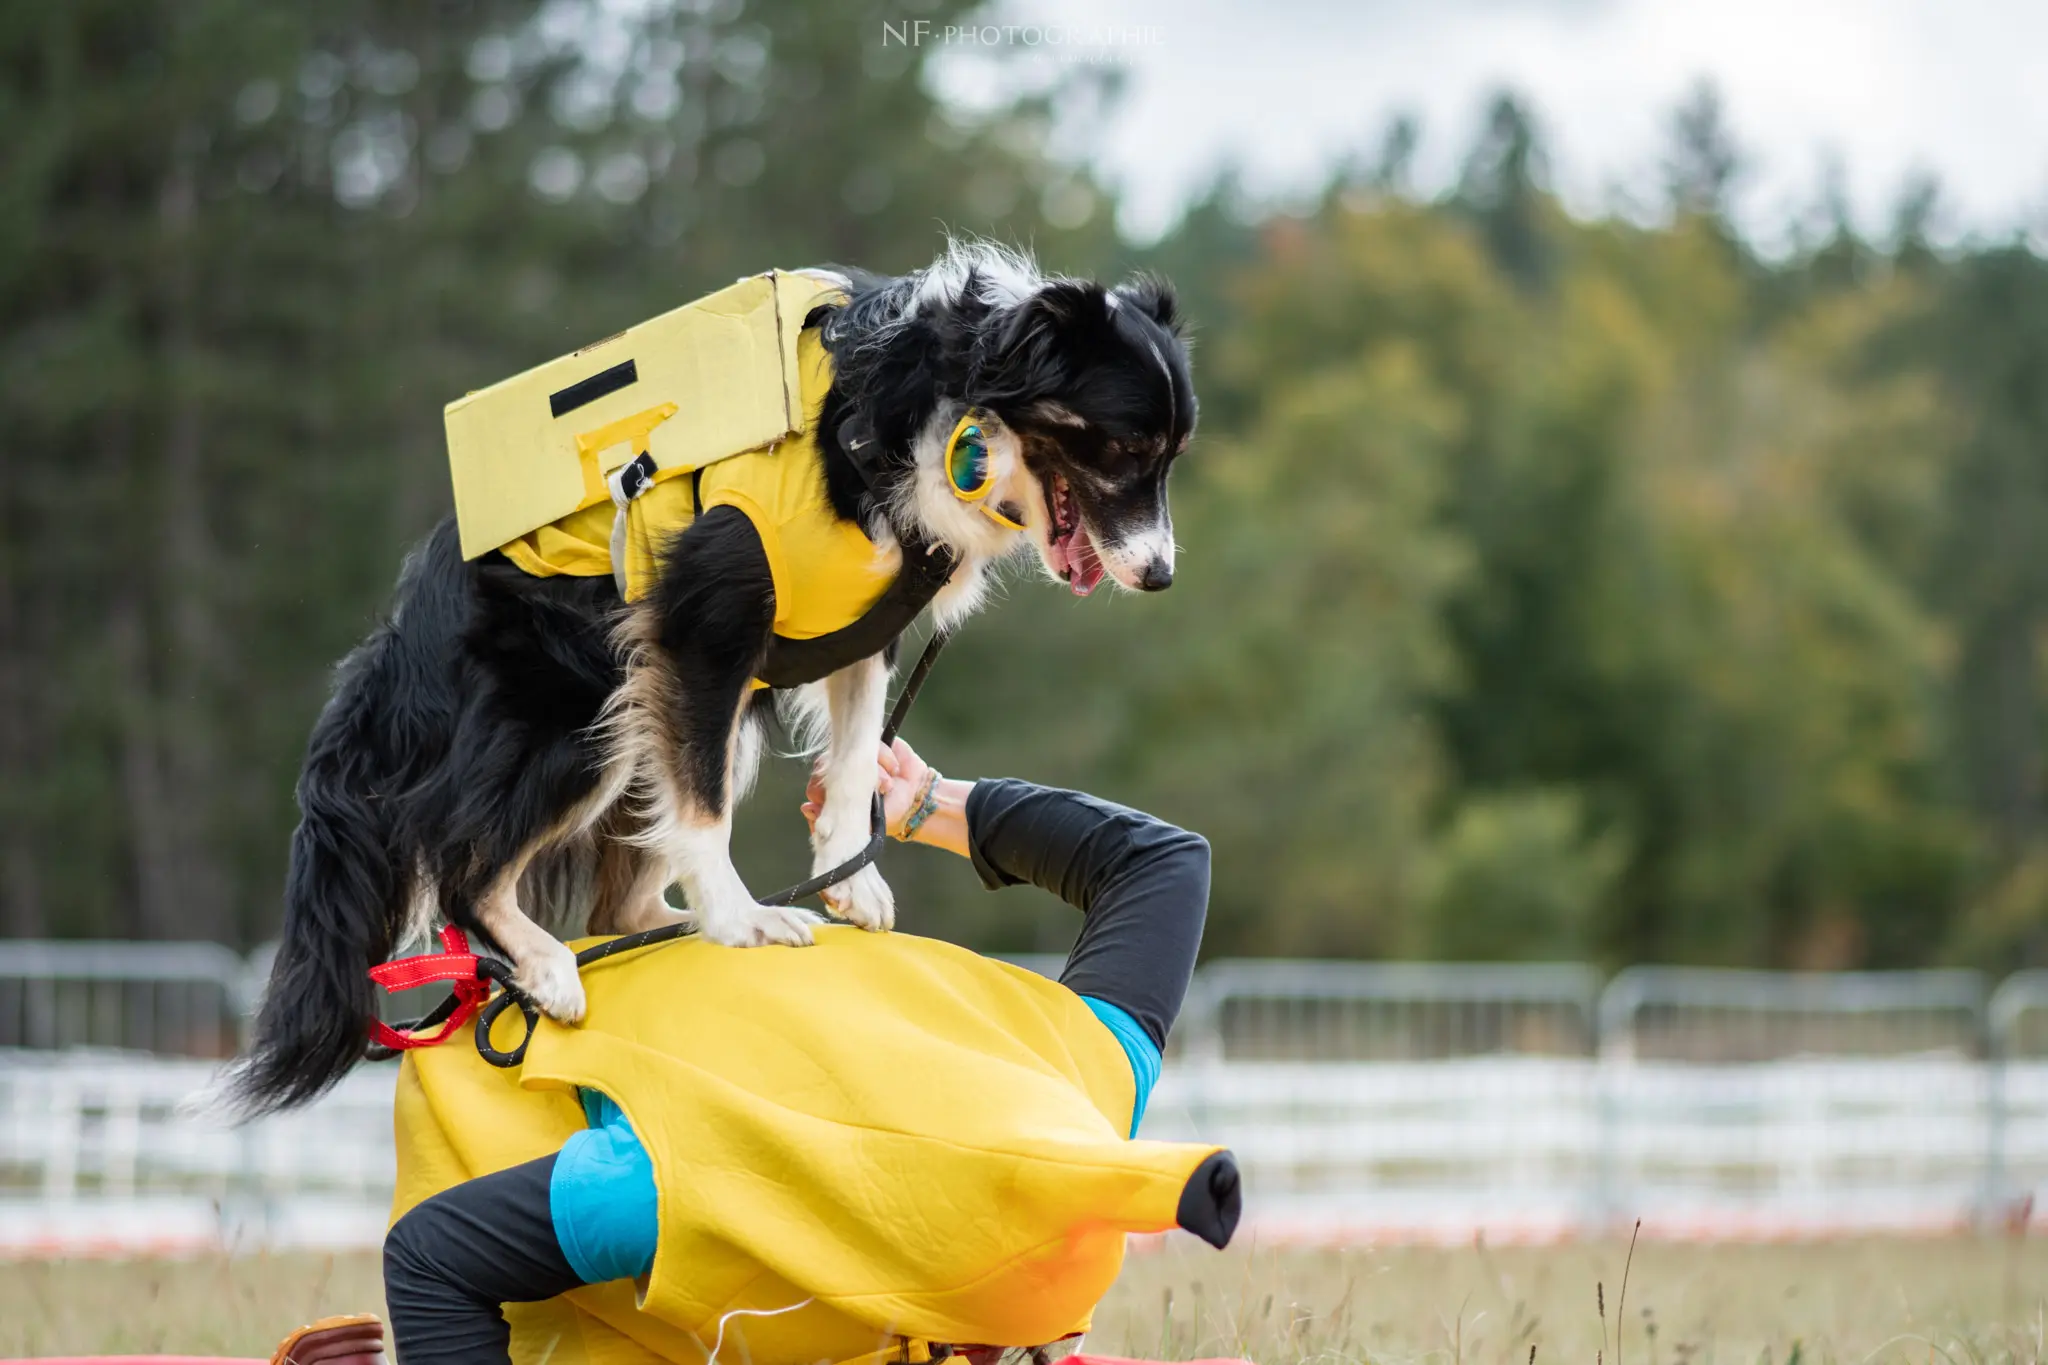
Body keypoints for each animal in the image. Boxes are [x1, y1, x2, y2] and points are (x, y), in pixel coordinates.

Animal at [232, 245, 1196, 1113]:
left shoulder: (862, 627)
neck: (931, 406)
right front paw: (745, 923)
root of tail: (403, 630)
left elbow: (852, 761)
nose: (1161, 577)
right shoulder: (704, 622)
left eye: (1172, 454)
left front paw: (847, 883)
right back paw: (551, 966)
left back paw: (663, 929)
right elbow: (704, 811)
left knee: (618, 897)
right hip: (575, 714)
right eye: (1127, 442)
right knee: (463, 861)